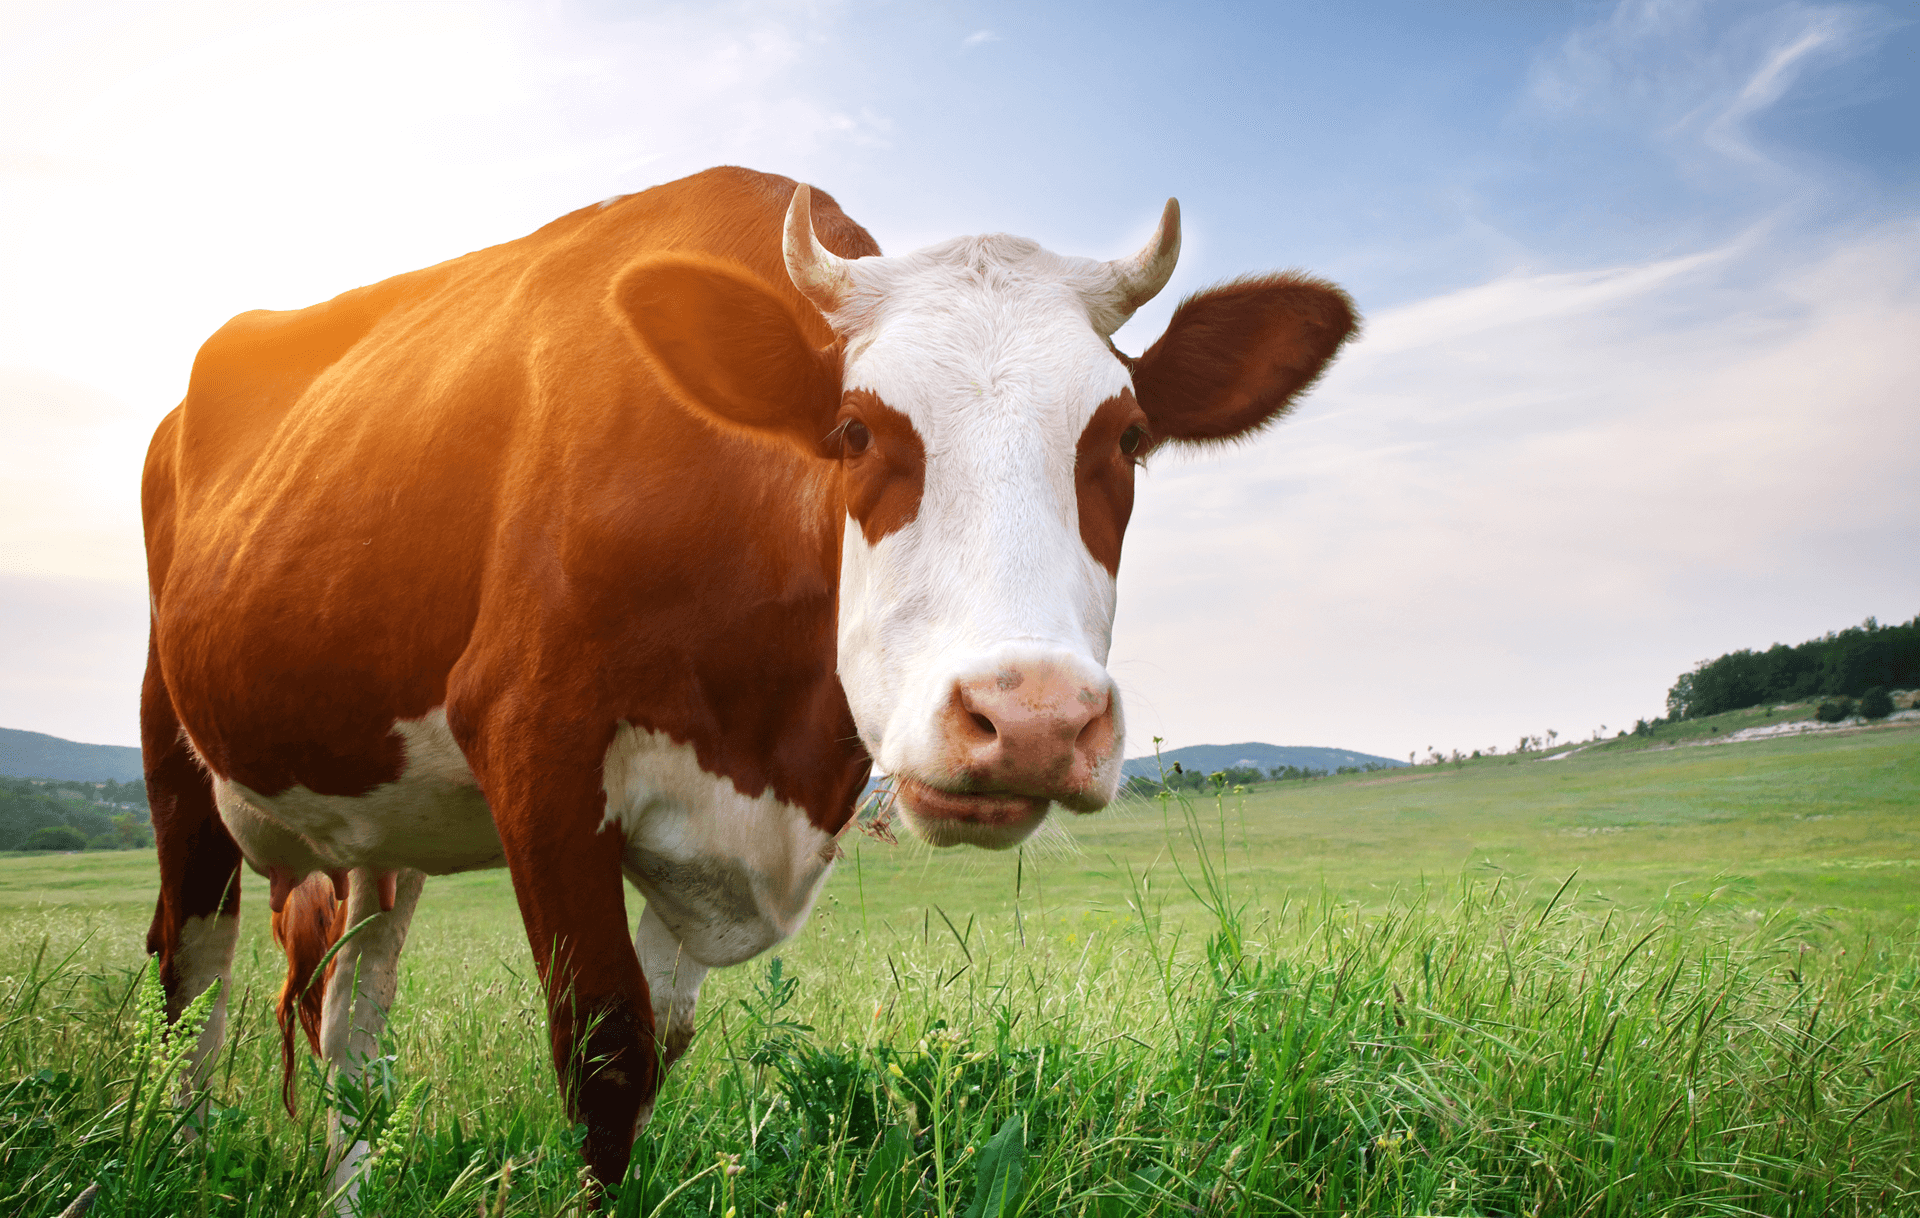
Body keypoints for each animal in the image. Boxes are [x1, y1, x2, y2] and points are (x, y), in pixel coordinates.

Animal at [140, 166, 1356, 1198]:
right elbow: (604, 1054)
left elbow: (654, 1053)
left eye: (1132, 437)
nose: (1033, 720)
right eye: (855, 430)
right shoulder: (536, 749)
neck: (776, 740)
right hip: (176, 752)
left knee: (351, 1017)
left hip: (377, 828)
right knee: (192, 982)